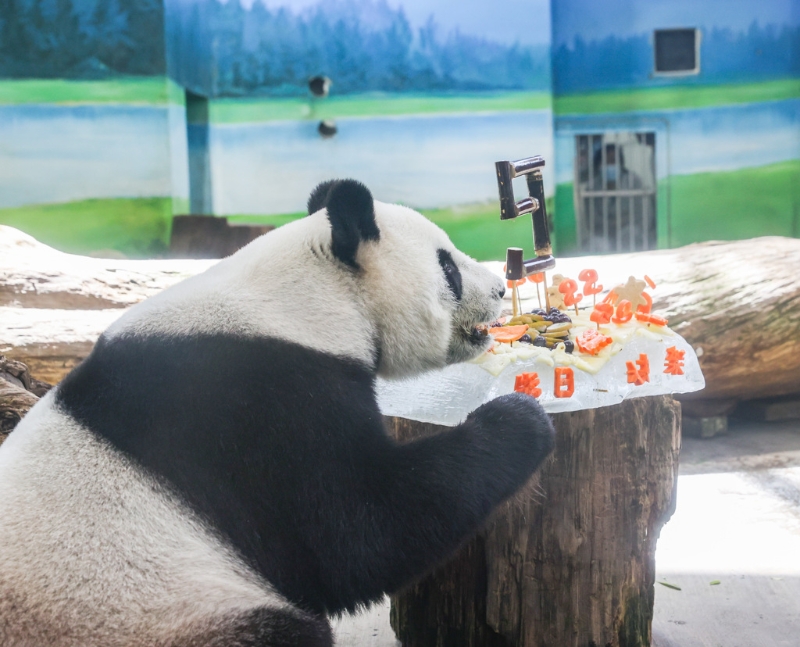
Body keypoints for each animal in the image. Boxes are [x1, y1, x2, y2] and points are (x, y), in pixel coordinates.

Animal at [0, 180, 556, 644]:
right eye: (447, 267)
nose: (499, 289)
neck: (304, 299)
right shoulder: (253, 407)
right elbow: (357, 531)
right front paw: (520, 418)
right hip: (169, 611)